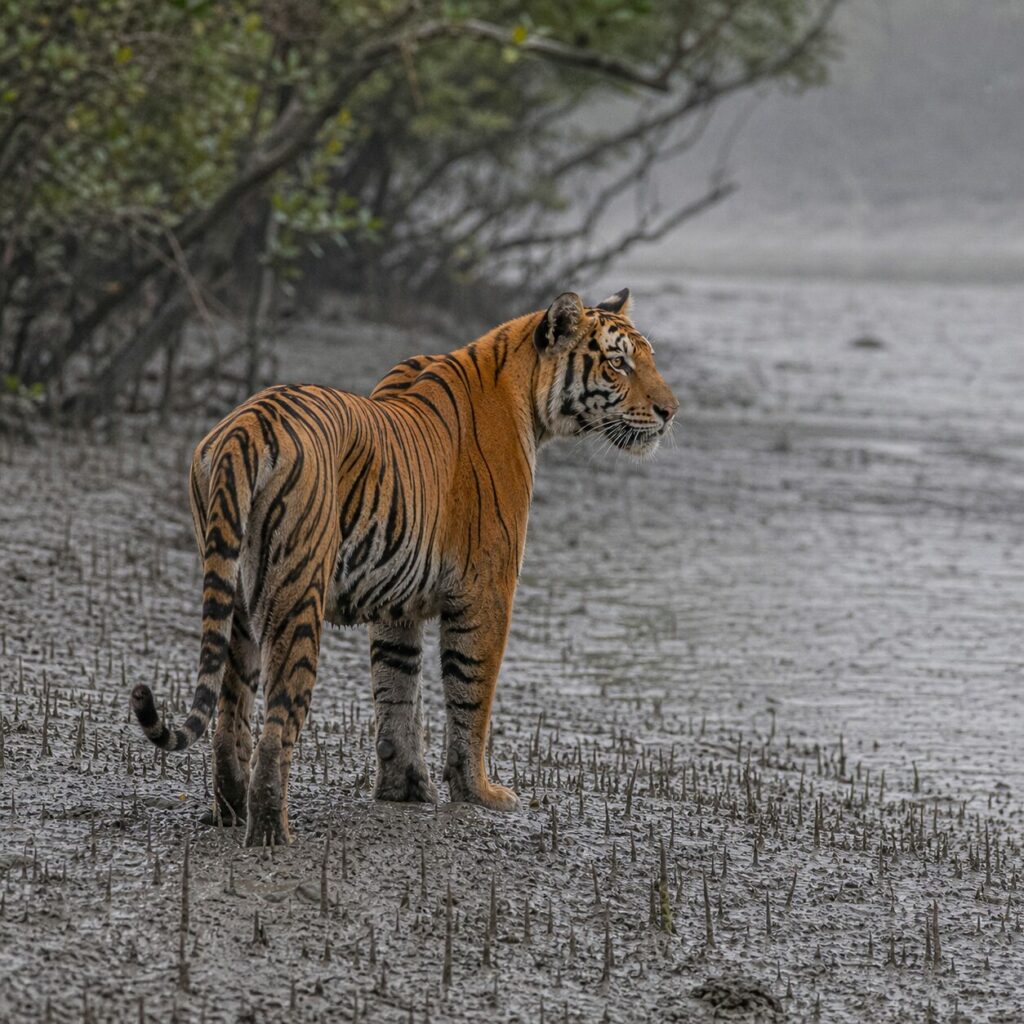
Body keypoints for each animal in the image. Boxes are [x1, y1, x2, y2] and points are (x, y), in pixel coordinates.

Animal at [131, 288, 678, 846]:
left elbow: (396, 694)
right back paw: (270, 833)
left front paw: (404, 788)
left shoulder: (398, 602)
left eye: (648, 358)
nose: (670, 411)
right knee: (276, 727)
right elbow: (471, 697)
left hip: (236, 607)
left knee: (229, 718)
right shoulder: (487, 591)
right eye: (618, 363)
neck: (525, 393)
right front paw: (479, 793)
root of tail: (245, 426)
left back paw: (229, 813)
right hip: (297, 600)